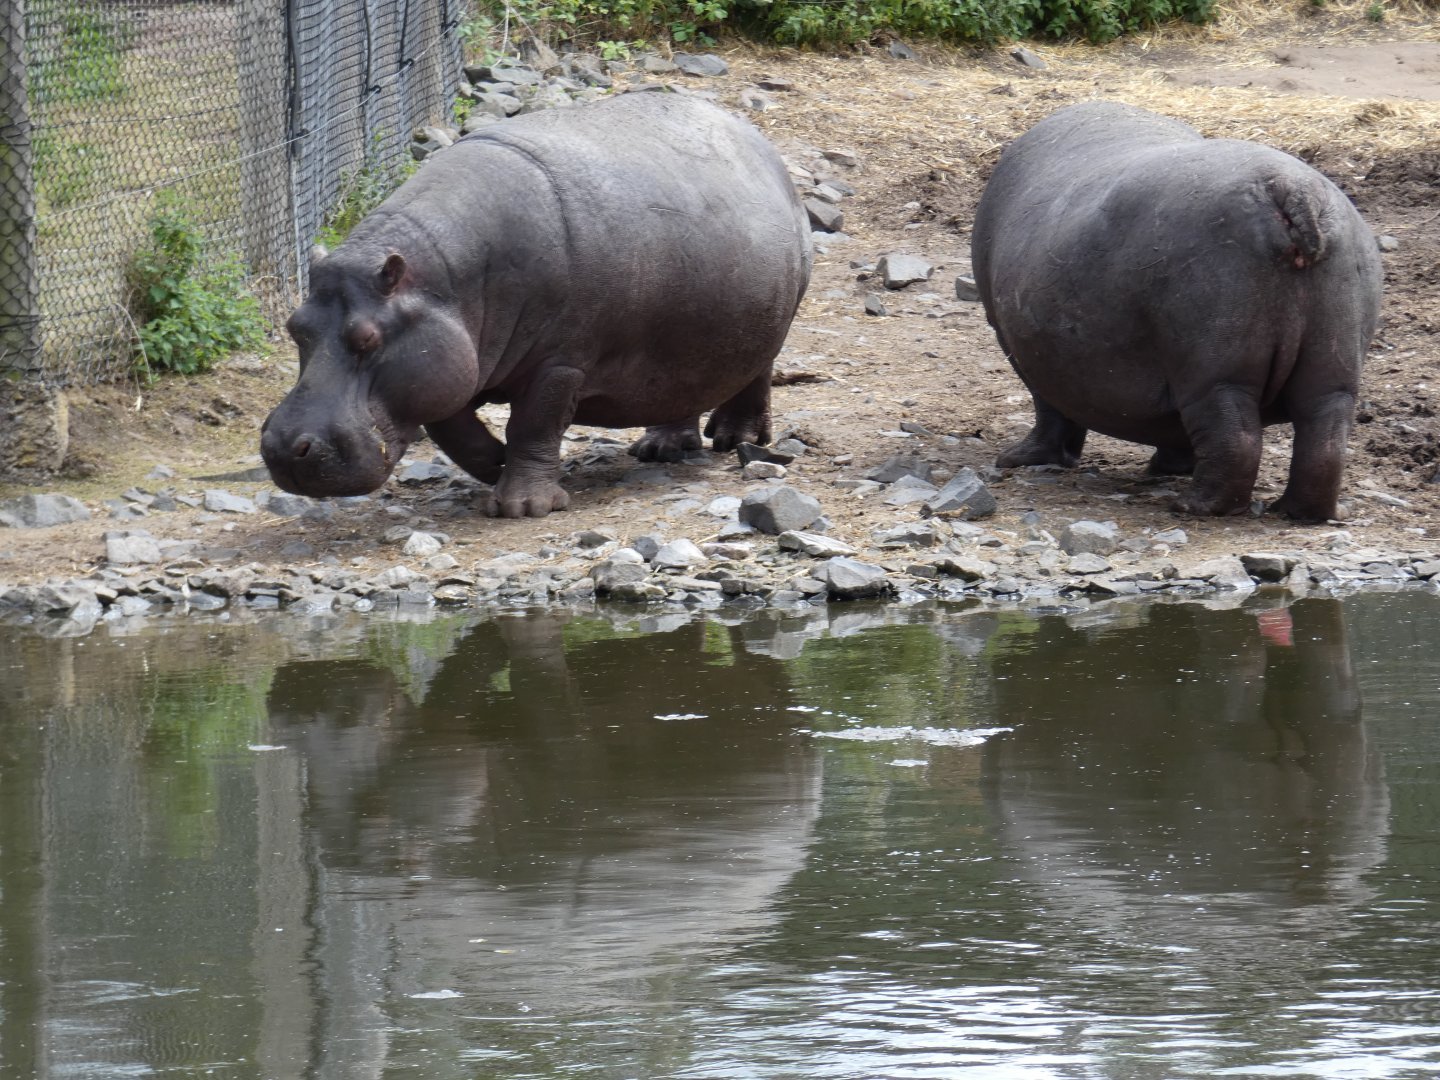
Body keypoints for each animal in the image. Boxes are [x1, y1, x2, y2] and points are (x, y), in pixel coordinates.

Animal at [261, 92, 812, 517]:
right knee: (684, 386)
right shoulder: (450, 362)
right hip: (687, 336)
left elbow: (533, 424)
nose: (284, 449)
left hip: (774, 316)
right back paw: (659, 448)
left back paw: (735, 439)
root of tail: (755, 139)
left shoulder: (560, 363)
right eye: (295, 326)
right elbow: (452, 430)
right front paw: (495, 463)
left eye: (366, 338)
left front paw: (521, 507)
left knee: (758, 372)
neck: (443, 279)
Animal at [971, 101, 1383, 521]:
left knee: (1236, 438)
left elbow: (1049, 408)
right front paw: (1169, 467)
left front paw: (1016, 459)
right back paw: (1302, 511)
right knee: (1323, 439)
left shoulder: (1019, 346)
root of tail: (1290, 189)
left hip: (1214, 370)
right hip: (1327, 372)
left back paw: (1193, 506)